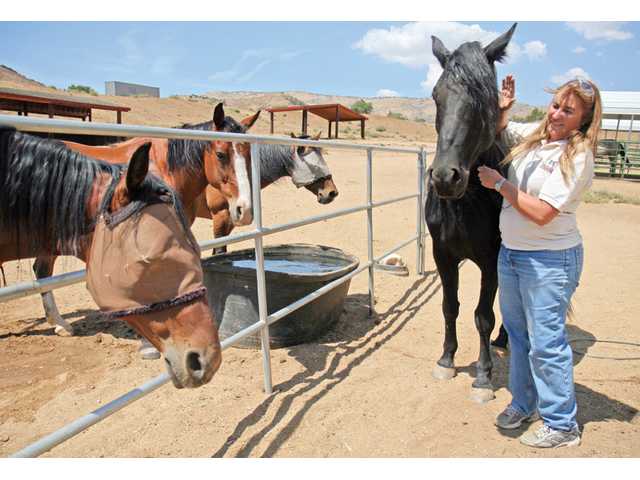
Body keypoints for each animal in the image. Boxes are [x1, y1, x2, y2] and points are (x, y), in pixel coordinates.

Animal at [27, 103, 259, 337]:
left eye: (249, 155)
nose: (245, 210)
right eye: (221, 155)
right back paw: (60, 323)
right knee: (42, 271)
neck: (163, 168)